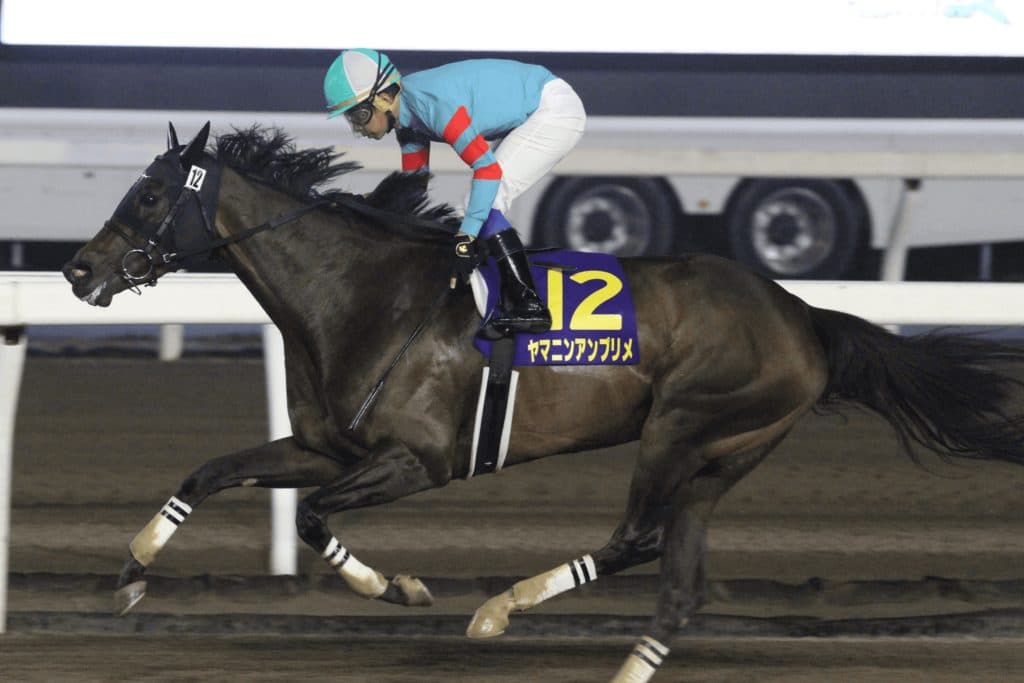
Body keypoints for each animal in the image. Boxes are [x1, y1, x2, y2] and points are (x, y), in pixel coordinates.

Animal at [63, 123, 1024, 683]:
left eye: (150, 193)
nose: (77, 267)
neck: (360, 295)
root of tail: (803, 315)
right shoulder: (328, 446)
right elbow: (212, 470)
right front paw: (133, 572)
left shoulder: (420, 458)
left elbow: (312, 519)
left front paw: (400, 587)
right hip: (730, 450)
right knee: (679, 579)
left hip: (684, 424)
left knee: (635, 538)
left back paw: (499, 608)